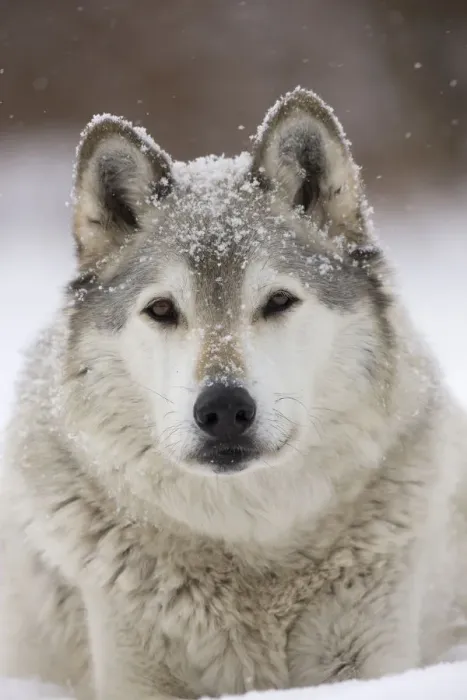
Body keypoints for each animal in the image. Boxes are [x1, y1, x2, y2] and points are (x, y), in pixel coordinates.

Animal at [1, 87, 466, 700]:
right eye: (162, 310)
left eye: (278, 301)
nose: (223, 409)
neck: (250, 548)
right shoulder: (131, 665)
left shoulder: (374, 656)